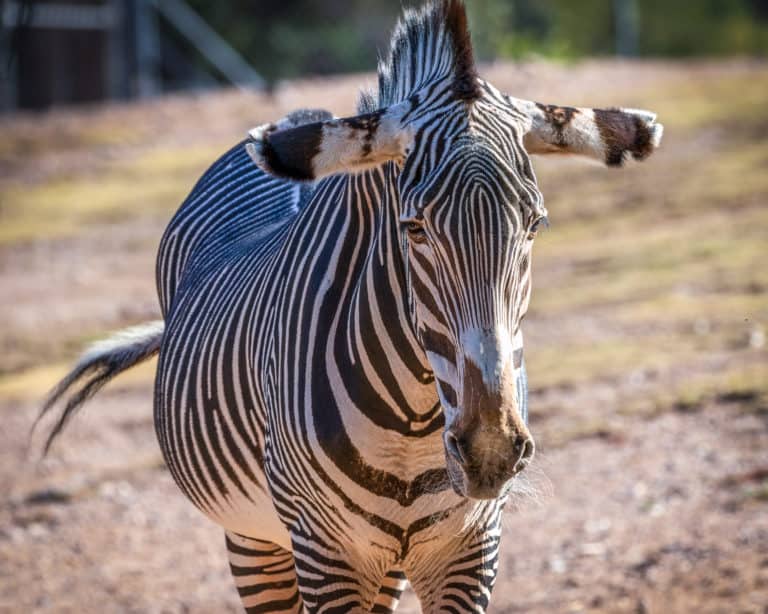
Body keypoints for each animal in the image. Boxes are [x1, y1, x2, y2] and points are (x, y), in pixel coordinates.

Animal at [39, 2, 664, 612]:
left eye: (536, 226)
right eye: (413, 229)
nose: (490, 452)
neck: (414, 422)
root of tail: (299, 111)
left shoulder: (469, 548)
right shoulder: (326, 551)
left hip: (384, 563)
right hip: (256, 539)